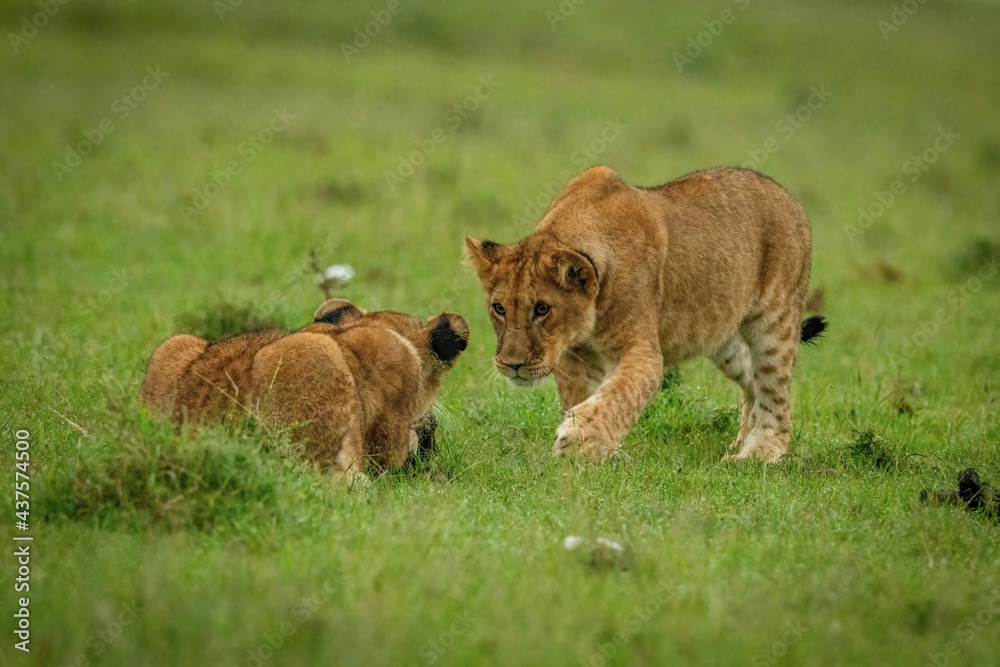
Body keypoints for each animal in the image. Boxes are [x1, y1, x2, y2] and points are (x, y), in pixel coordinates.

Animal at [464, 165, 826, 463]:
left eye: (542, 309)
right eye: (499, 308)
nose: (511, 364)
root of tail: (787, 196)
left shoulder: (643, 352)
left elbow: (619, 394)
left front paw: (578, 441)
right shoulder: (573, 357)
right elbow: (584, 397)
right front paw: (599, 452)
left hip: (774, 325)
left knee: (775, 395)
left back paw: (758, 455)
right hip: (722, 339)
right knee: (752, 384)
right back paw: (739, 443)